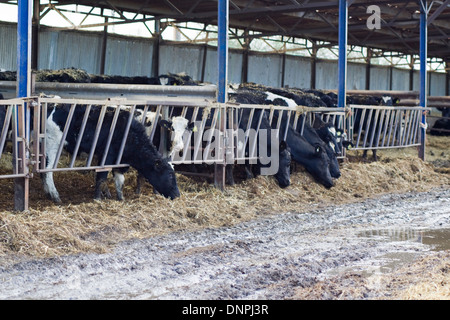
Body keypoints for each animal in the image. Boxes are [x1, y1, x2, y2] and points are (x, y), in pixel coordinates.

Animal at [42, 104, 181, 202]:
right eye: (170, 175)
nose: (178, 194)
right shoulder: (106, 156)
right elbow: (101, 177)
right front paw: (97, 198)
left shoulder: (120, 161)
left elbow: (120, 180)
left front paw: (120, 198)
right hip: (52, 147)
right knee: (47, 172)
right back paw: (55, 196)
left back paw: (47, 192)